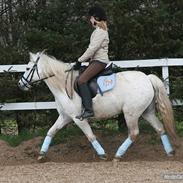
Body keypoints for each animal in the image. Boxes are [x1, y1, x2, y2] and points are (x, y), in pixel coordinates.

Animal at [18, 51, 179, 162]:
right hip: (147, 112)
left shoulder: (78, 119)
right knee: (160, 128)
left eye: (27, 68)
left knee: (133, 133)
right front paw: (41, 155)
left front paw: (102, 154)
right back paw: (170, 152)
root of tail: (147, 78)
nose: (20, 84)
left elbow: (90, 135)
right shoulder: (64, 117)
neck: (63, 86)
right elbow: (51, 132)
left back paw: (118, 155)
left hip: (131, 114)